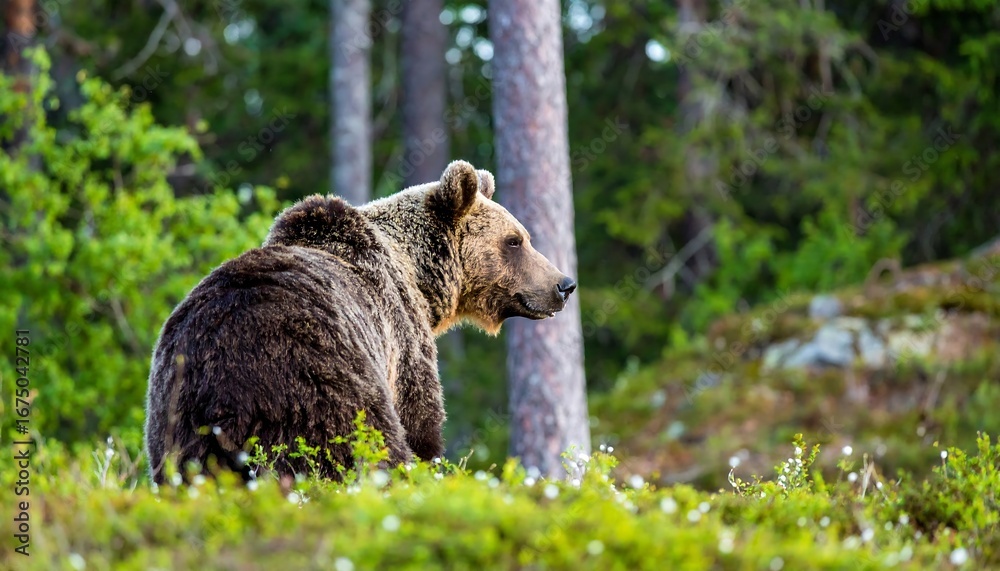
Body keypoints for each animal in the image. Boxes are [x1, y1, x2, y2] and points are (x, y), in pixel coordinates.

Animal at [144, 160, 577, 483]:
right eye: (514, 240)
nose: (564, 284)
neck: (421, 278)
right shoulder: (401, 337)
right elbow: (420, 421)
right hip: (316, 379)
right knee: (360, 447)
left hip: (177, 417)